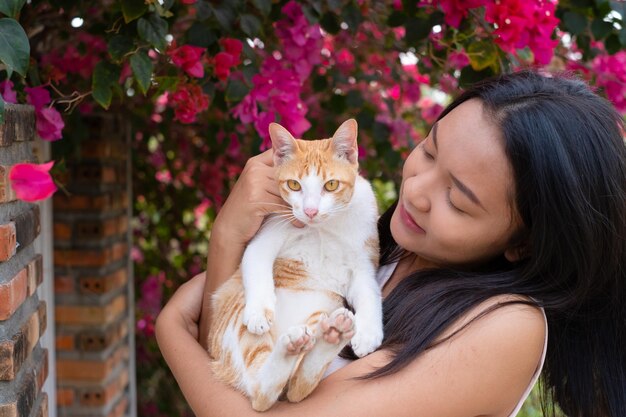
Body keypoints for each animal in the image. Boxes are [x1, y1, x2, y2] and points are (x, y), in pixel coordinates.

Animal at [206, 118, 380, 412]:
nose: (310, 211)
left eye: (331, 185)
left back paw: (334, 334)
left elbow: (369, 293)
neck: (323, 227)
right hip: (235, 316)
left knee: (297, 387)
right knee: (261, 392)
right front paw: (259, 312)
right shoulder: (266, 234)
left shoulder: (363, 263)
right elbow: (257, 267)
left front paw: (368, 332)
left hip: (323, 307)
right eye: (294, 185)